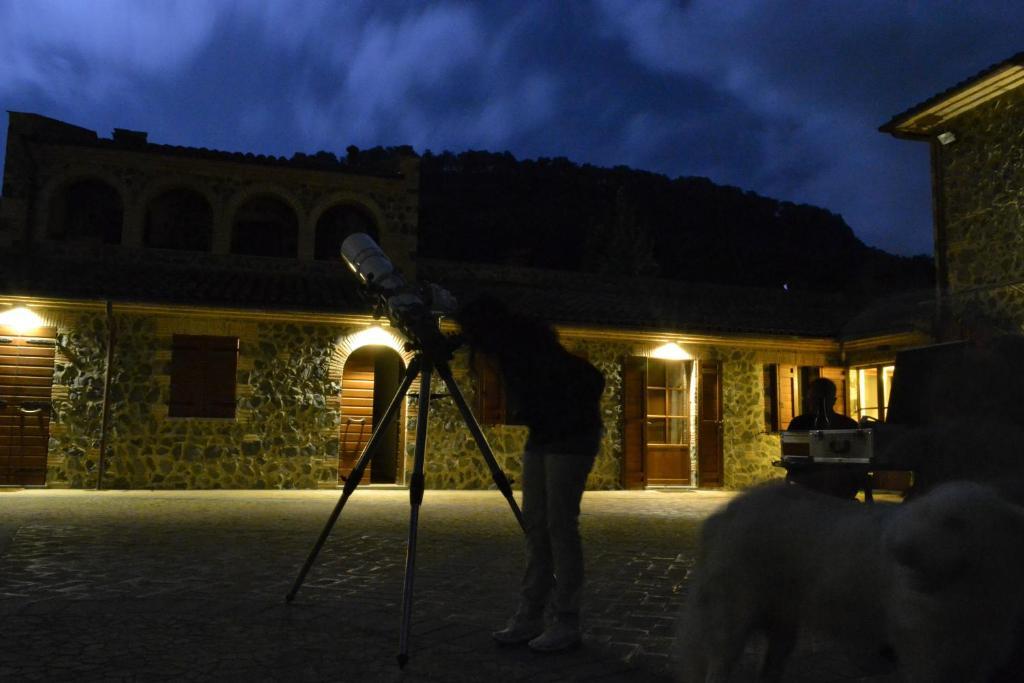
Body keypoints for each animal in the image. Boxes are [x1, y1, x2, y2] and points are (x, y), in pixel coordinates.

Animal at [675, 483, 1024, 679]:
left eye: (955, 522)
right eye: (922, 517)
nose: (899, 549)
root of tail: (728, 511)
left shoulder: (979, 649)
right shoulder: (926, 650)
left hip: (783, 626)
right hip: (731, 619)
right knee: (718, 665)